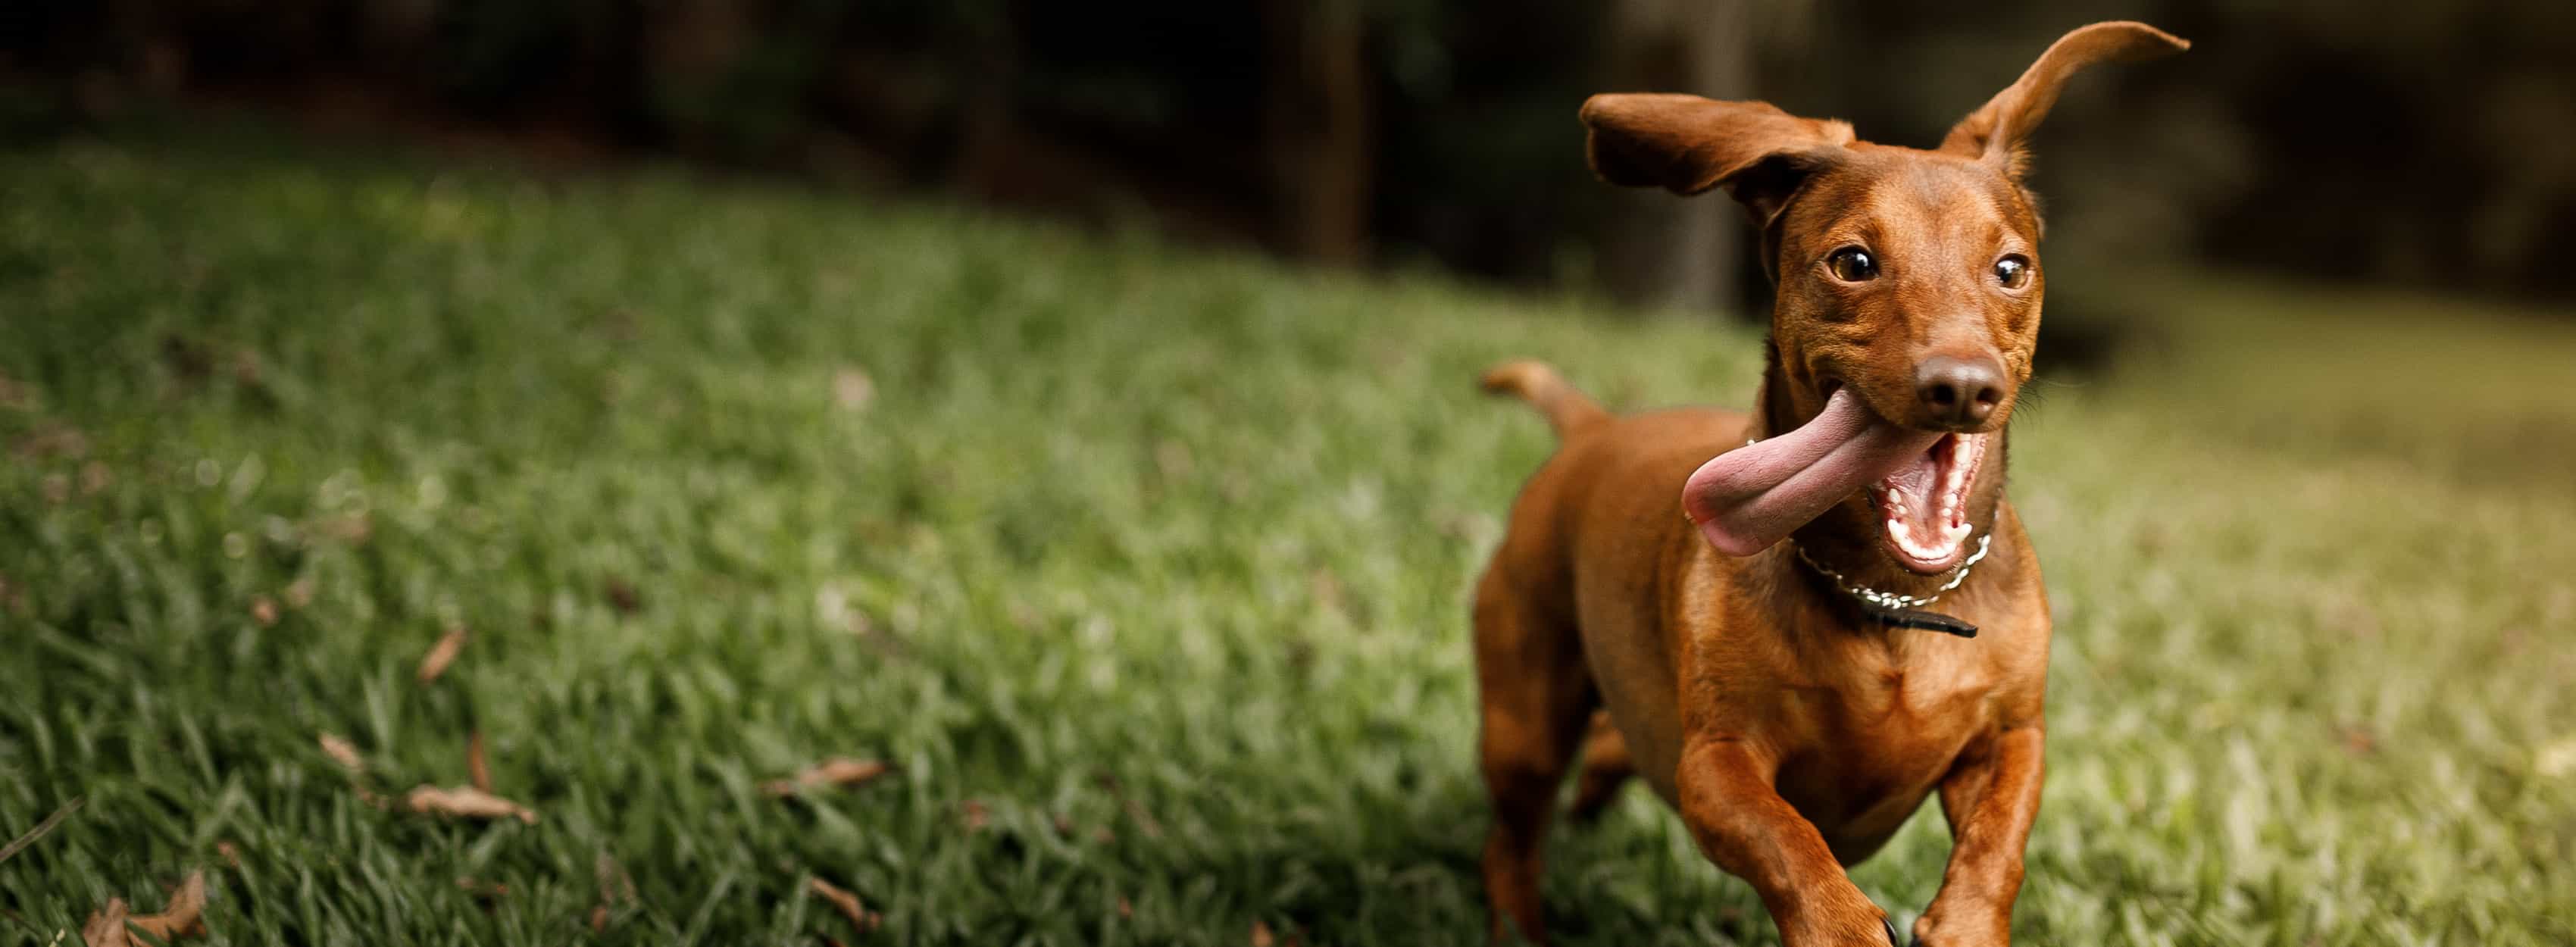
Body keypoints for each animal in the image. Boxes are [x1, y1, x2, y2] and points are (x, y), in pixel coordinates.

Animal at [1483, 22, 2184, 947]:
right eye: (1853, 262)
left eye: (2011, 268)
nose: (1963, 387)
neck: (1894, 602)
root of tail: (1595, 429)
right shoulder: (1715, 765)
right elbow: (1786, 839)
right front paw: (1840, 922)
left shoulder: (2011, 736)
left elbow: (1999, 839)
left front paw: (1966, 920)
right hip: (1522, 724)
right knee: (1512, 840)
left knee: (1606, 754)